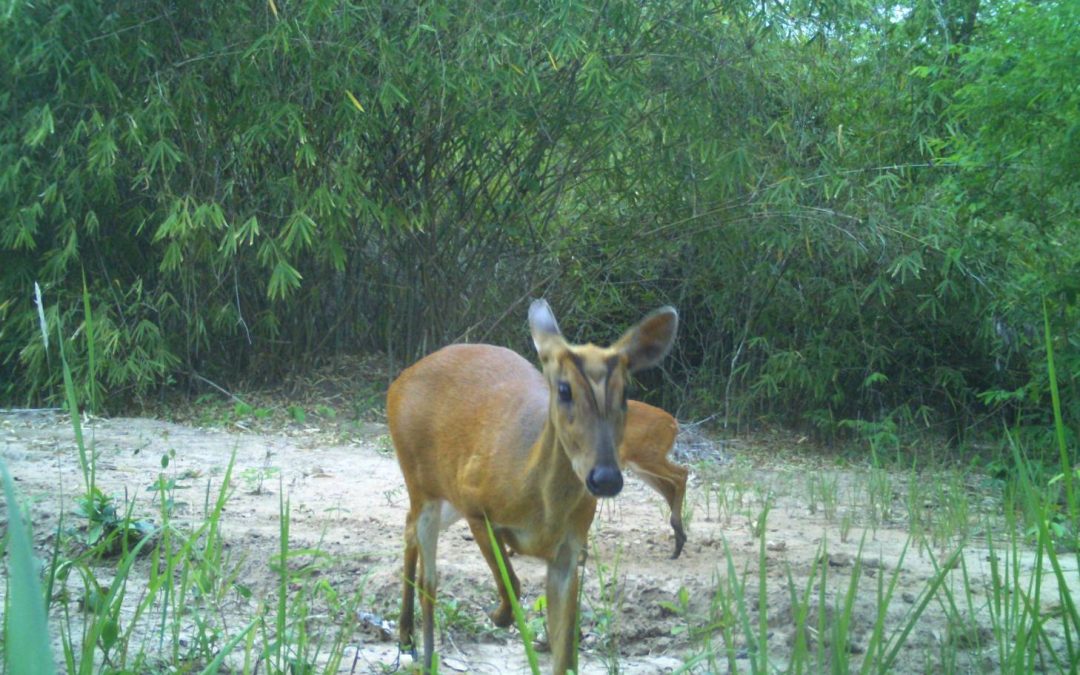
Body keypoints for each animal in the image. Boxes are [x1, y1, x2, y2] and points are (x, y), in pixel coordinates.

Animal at [386, 302, 673, 673]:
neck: (540, 506)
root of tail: (399, 381)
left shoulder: (569, 550)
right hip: (421, 481)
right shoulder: (476, 507)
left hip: (442, 494)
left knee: (408, 528)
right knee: (428, 580)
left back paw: (406, 638)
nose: (606, 478)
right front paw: (496, 615)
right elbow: (512, 585)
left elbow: (564, 648)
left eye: (625, 393)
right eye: (563, 389)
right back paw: (419, 649)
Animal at [622, 399, 686, 557]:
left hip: (648, 457)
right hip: (641, 465)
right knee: (671, 487)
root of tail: (673, 424)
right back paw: (679, 542)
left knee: (682, 474)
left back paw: (678, 545)